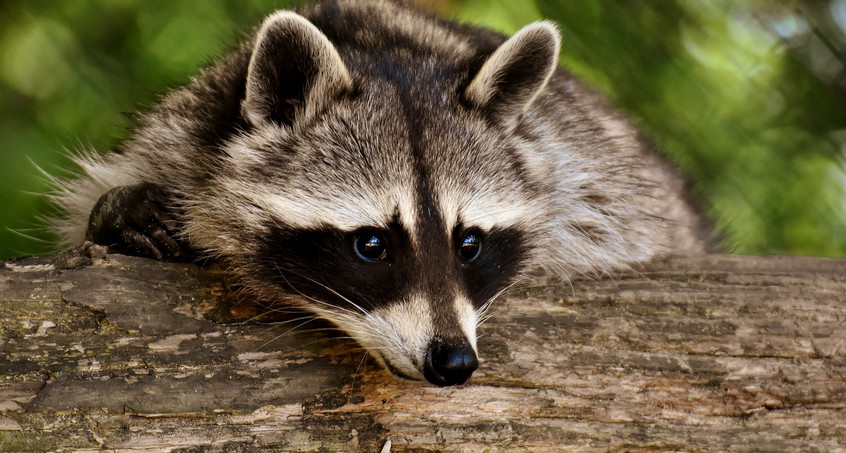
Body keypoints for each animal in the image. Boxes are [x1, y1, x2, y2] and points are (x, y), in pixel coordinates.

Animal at [48, 0, 708, 384]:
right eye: (371, 244)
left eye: (469, 243)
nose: (453, 363)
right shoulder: (178, 134)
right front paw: (119, 212)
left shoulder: (588, 174)